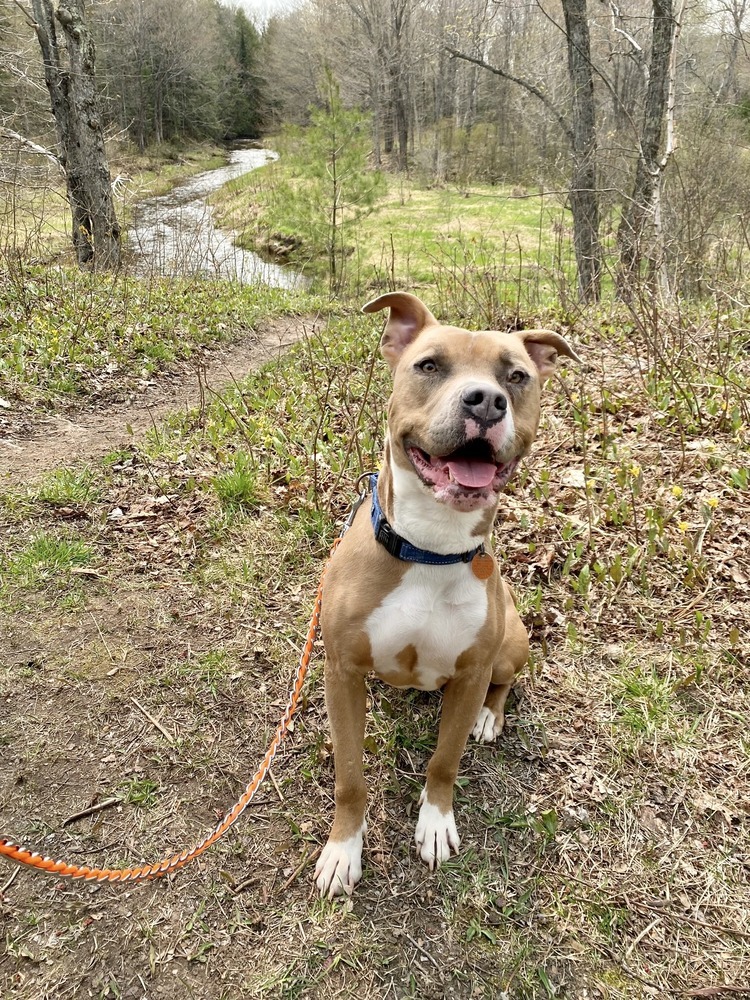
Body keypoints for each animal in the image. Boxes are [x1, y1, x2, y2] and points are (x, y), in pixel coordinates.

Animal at [314, 292, 580, 900]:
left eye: (517, 376)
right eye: (429, 365)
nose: (486, 401)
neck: (430, 548)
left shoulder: (471, 670)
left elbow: (444, 761)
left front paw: (435, 823)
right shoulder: (341, 669)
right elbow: (349, 776)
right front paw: (343, 850)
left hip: (510, 644)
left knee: (505, 684)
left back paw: (489, 719)